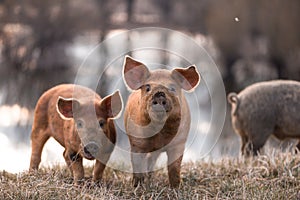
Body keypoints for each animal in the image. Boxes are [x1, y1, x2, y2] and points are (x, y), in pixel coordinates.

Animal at [123, 55, 200, 188]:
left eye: (172, 88)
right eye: (148, 88)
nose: (159, 94)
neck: (159, 133)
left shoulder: (179, 143)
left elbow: (174, 168)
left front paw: (176, 187)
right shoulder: (136, 143)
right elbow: (137, 165)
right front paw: (137, 186)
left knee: (151, 160)